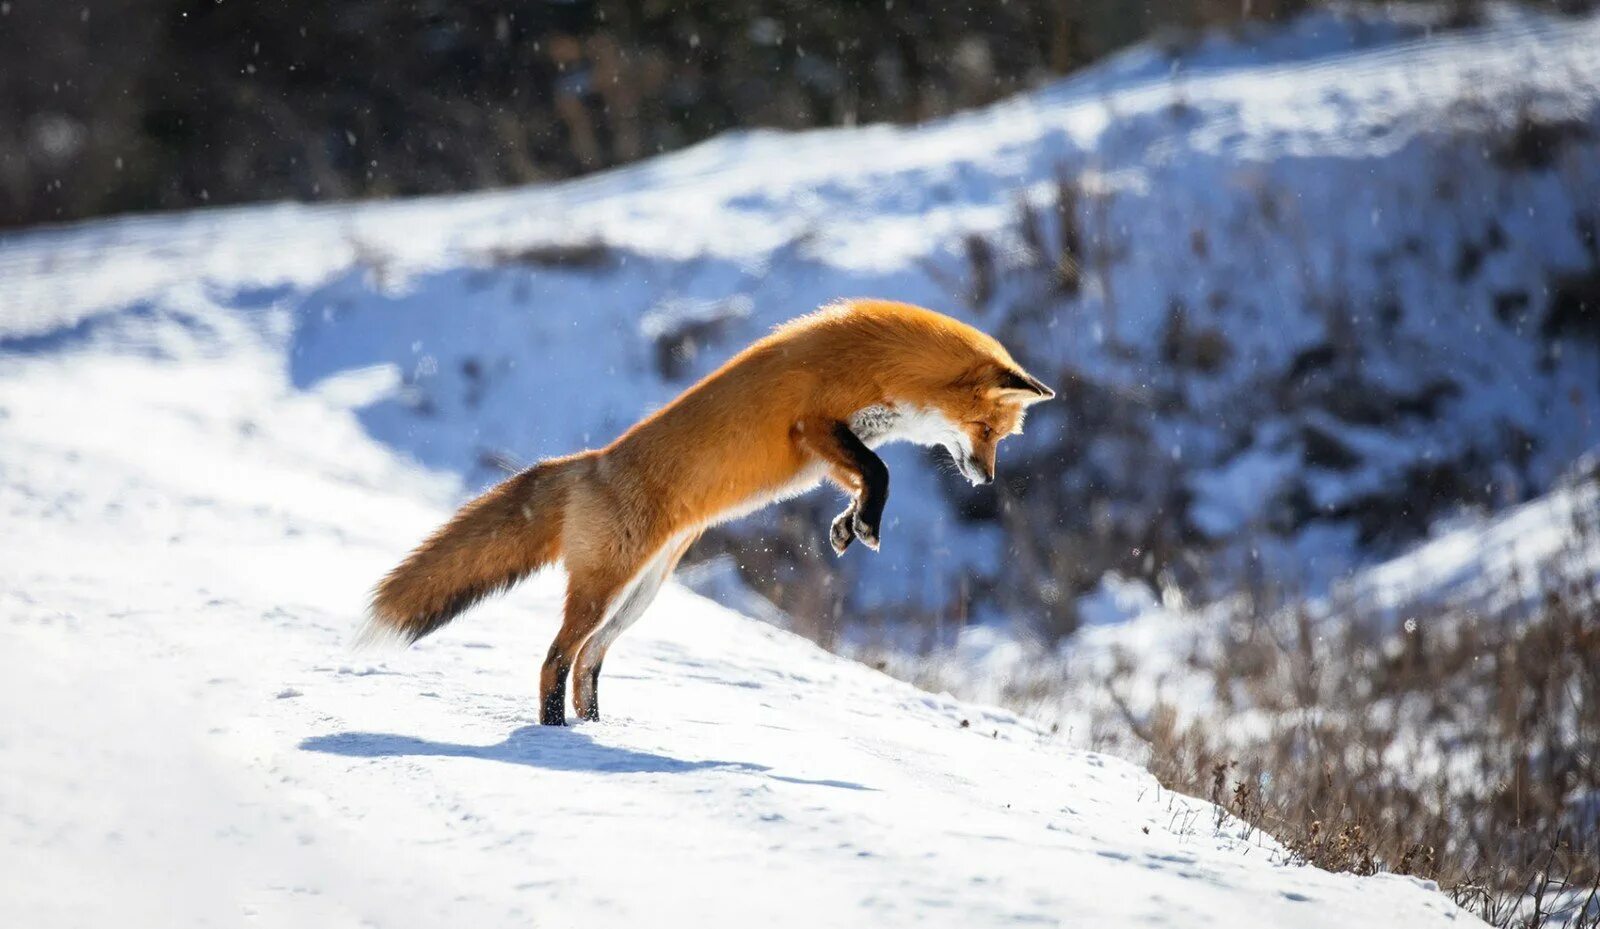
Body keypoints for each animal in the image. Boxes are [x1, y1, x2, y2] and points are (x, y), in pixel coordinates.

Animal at [368, 297, 1056, 725]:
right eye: (988, 430)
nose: (986, 479)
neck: (885, 361)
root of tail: (588, 461)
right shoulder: (813, 426)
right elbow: (880, 472)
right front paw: (863, 523)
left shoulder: (831, 451)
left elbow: (867, 477)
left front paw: (848, 525)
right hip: (603, 589)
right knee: (555, 660)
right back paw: (558, 735)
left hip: (637, 598)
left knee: (588, 662)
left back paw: (596, 731)